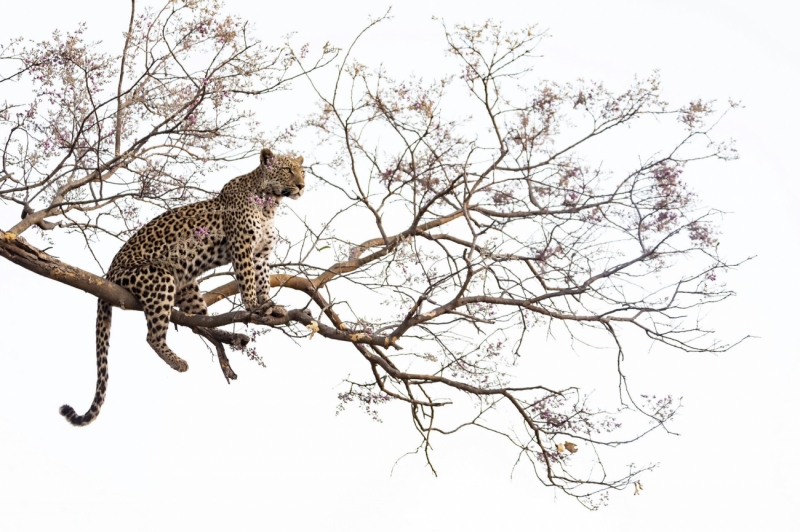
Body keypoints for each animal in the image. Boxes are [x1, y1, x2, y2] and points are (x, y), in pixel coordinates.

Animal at [59, 147, 305, 426]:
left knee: (202, 325)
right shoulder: (242, 247)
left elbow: (262, 280)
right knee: (153, 336)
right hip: (160, 278)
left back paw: (229, 338)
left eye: (302, 171)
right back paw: (179, 362)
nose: (301, 185)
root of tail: (109, 273)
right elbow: (247, 281)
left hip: (188, 287)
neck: (269, 205)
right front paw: (254, 306)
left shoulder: (261, 253)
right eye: (287, 170)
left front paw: (268, 306)